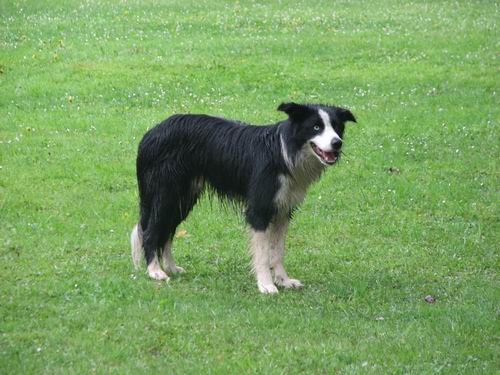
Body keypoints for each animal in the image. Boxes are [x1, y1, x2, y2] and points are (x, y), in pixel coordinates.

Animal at [129, 102, 356, 294]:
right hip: (165, 193)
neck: (283, 153)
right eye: (316, 127)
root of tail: (150, 133)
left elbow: (278, 251)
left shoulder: (283, 210)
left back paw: (171, 268)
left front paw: (283, 280)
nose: (337, 143)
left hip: (182, 197)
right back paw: (155, 271)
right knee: (151, 231)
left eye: (337, 127)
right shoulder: (259, 209)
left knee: (167, 231)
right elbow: (263, 254)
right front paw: (266, 285)